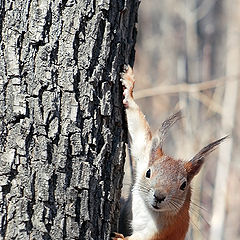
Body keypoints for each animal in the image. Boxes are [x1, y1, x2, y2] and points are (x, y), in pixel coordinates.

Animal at [112, 65, 227, 240]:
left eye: (183, 185)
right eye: (148, 173)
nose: (159, 196)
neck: (149, 209)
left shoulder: (164, 229)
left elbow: (142, 238)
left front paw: (119, 238)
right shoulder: (145, 156)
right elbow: (140, 133)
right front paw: (129, 88)